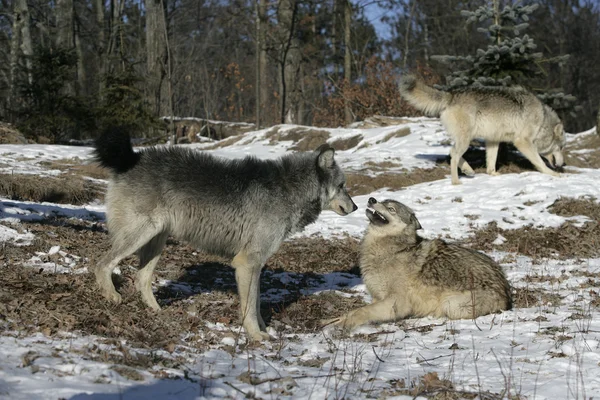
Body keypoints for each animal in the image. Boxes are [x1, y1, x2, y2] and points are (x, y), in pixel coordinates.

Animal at [94, 128, 356, 340]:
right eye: (342, 186)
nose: (355, 207)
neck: (289, 189)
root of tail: (132, 157)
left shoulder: (255, 266)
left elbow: (256, 305)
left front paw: (263, 330)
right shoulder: (246, 263)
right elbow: (249, 309)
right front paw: (256, 337)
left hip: (156, 242)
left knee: (141, 278)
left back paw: (156, 311)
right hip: (140, 236)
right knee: (100, 264)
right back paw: (111, 296)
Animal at [324, 197, 510, 332]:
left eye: (391, 208)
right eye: (382, 201)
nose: (371, 199)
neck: (391, 251)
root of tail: (506, 291)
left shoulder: (396, 302)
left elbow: (362, 311)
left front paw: (343, 325)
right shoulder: (378, 297)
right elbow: (354, 310)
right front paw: (332, 321)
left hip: (451, 304)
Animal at [398, 74, 568, 184]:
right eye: (561, 147)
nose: (564, 164)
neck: (542, 120)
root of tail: (451, 95)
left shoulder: (493, 140)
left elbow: (491, 163)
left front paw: (493, 174)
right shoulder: (522, 142)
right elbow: (540, 162)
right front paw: (553, 174)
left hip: (465, 139)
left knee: (452, 152)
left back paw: (469, 171)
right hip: (466, 140)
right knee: (453, 155)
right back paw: (456, 181)